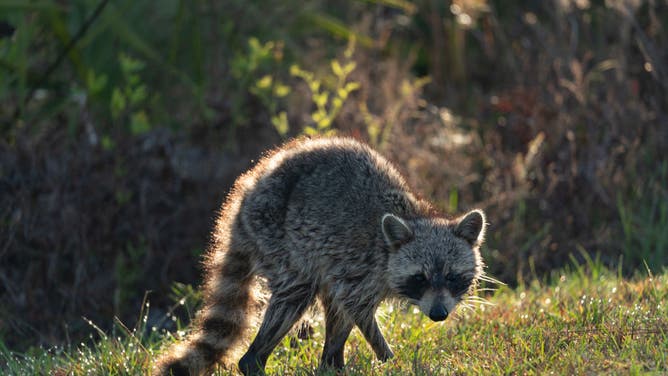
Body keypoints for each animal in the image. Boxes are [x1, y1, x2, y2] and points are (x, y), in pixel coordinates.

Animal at [154, 137, 488, 374]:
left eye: (452, 277)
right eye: (420, 278)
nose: (439, 314)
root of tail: (243, 196)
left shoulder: (352, 267)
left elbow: (343, 308)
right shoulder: (361, 267)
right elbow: (357, 309)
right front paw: (387, 357)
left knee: (327, 300)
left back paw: (331, 362)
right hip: (275, 232)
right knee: (296, 293)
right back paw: (255, 361)